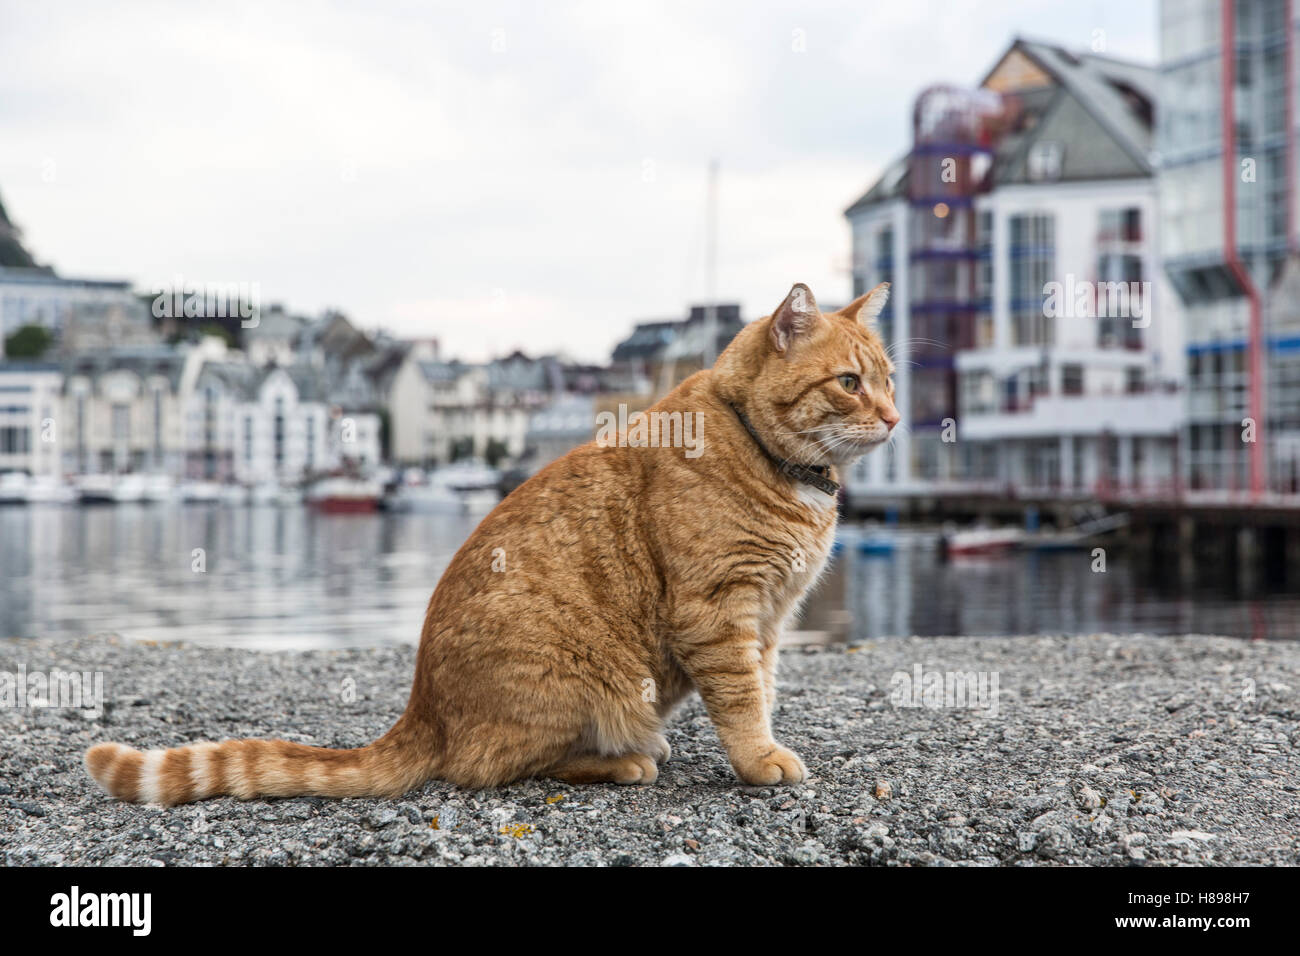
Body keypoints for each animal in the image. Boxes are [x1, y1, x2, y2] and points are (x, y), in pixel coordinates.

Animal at [81, 280, 894, 806]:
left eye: (889, 380)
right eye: (850, 383)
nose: (891, 418)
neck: (766, 453)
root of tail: (422, 711)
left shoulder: (770, 620)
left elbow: (764, 687)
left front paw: (764, 744)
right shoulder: (720, 612)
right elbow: (742, 698)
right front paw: (759, 760)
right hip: (583, 679)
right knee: (492, 767)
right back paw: (626, 759)